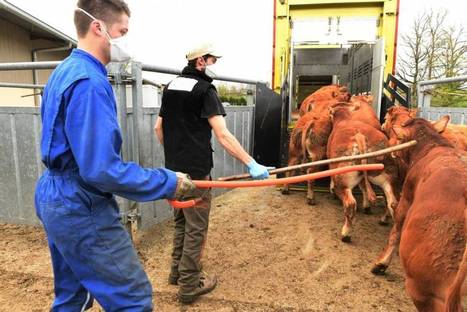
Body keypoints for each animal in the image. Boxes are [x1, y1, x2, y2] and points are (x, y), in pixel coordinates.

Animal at [330, 105, 398, 241]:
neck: (344, 119)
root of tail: (359, 136)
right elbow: (364, 188)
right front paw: (367, 206)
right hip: (384, 174)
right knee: (392, 202)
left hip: (343, 182)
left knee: (350, 204)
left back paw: (345, 234)